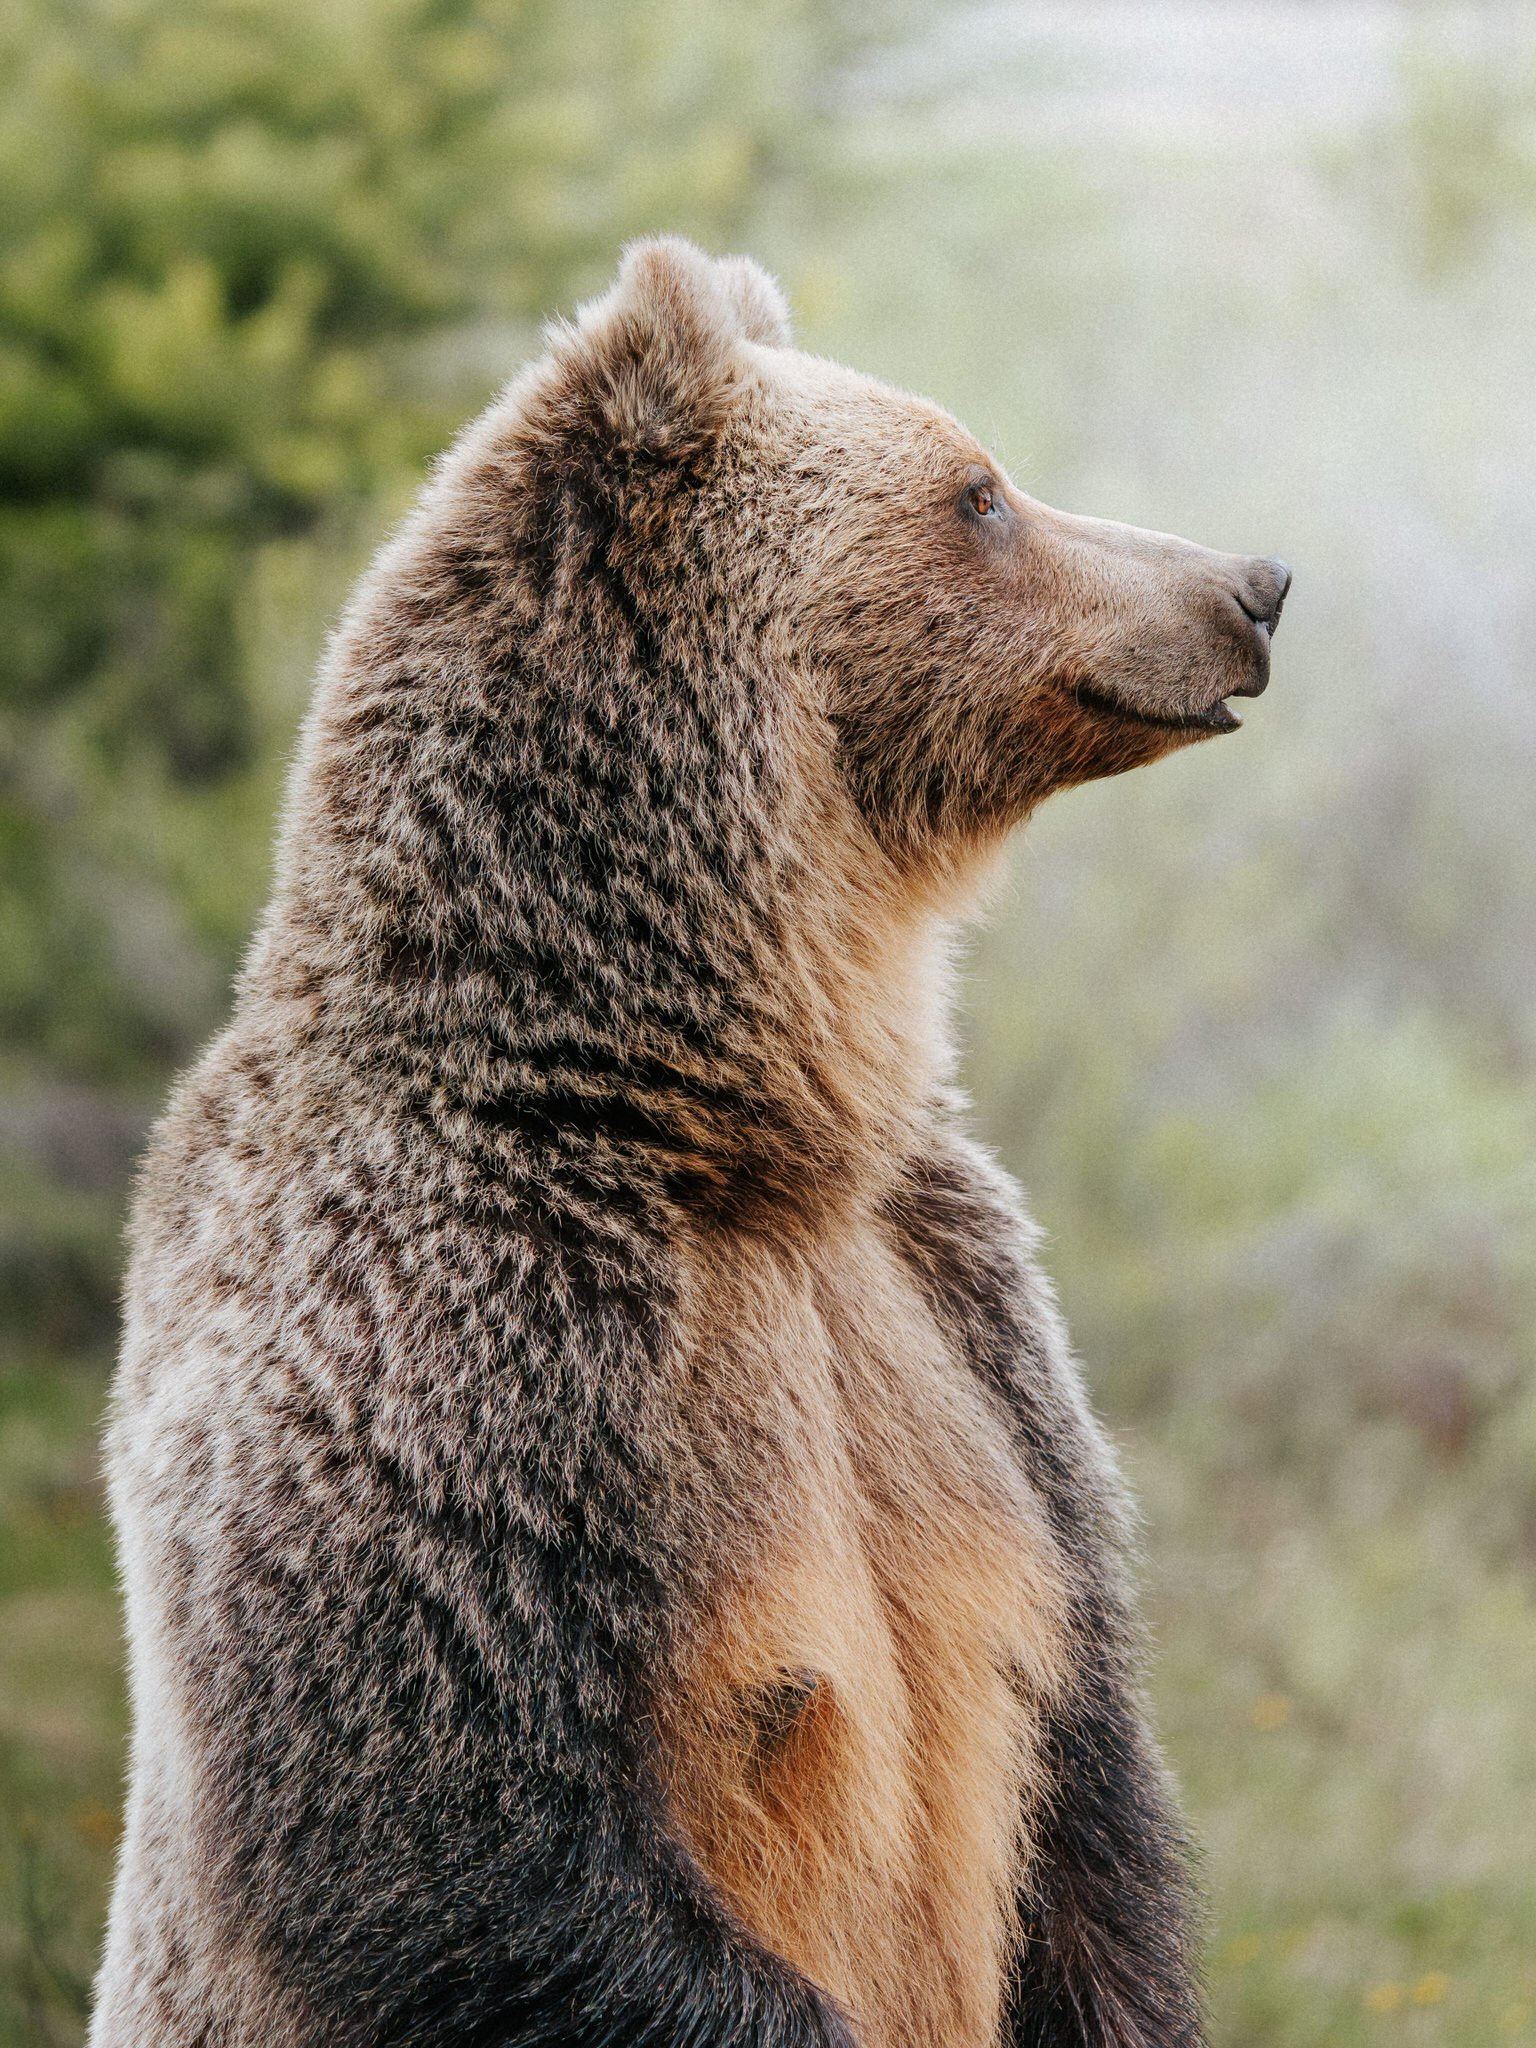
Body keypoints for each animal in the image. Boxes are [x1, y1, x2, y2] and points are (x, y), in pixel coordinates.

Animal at [91, 238, 1289, 2048]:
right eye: (980, 490)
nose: (1254, 582)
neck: (715, 1118)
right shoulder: (465, 1340)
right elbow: (442, 1830)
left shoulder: (959, 1304)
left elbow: (1085, 1773)